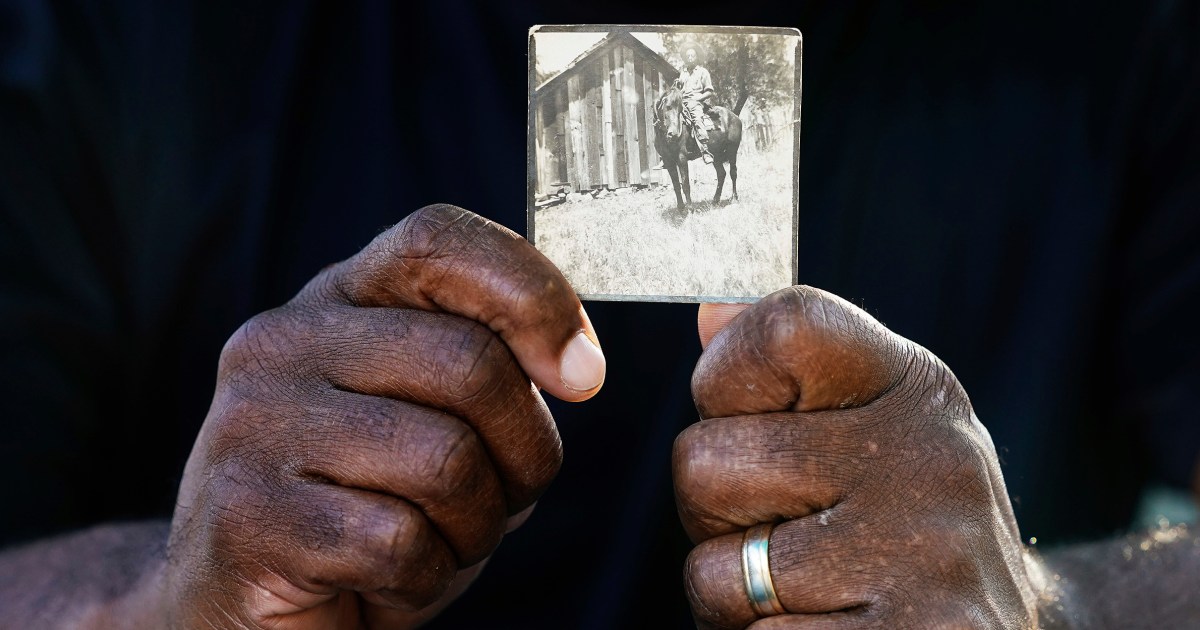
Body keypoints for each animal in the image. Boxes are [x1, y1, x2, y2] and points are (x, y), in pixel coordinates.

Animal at [657, 82, 739, 210]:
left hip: (732, 151)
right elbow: (676, 185)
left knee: (733, 173)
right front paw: (681, 209)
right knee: (721, 174)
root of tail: (735, 117)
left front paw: (690, 209)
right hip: (716, 155)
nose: (674, 134)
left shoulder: (682, 158)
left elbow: (685, 184)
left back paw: (734, 199)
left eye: (681, 110)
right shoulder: (668, 160)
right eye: (668, 106)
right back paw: (715, 200)